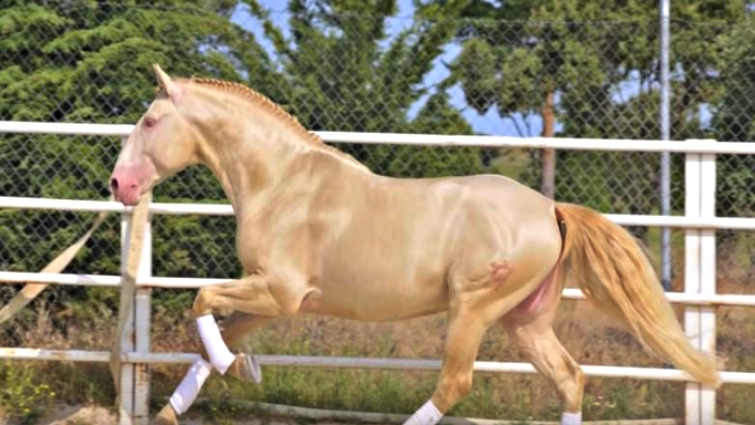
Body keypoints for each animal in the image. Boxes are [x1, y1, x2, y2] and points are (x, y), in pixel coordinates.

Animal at [109, 64, 719, 425]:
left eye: (151, 120)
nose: (119, 185)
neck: (282, 182)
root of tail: (551, 210)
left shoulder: (277, 292)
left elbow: (202, 301)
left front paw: (240, 369)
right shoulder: (273, 302)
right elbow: (209, 342)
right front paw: (229, 374)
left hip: (473, 309)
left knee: (455, 383)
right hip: (524, 320)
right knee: (569, 378)